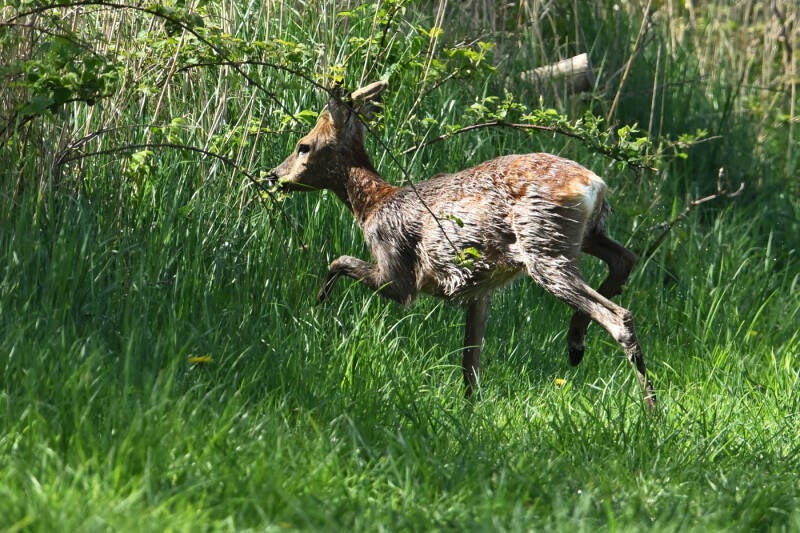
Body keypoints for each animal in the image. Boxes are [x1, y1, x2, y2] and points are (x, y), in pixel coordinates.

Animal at [266, 81, 656, 409]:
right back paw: (578, 345)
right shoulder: (480, 291)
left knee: (619, 315)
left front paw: (318, 305)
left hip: (542, 239)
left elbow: (339, 260)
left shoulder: (399, 272)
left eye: (303, 146)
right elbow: (471, 361)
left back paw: (645, 404)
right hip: (583, 234)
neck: (374, 205)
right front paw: (469, 411)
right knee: (625, 258)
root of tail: (594, 183)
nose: (273, 175)